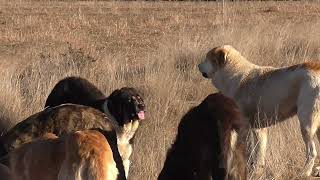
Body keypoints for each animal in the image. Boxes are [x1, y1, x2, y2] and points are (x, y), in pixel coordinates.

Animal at [199, 44, 320, 176]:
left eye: (207, 58)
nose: (198, 65)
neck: (233, 75)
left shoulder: (251, 128)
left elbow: (252, 153)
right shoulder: (260, 129)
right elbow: (260, 153)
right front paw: (258, 170)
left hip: (307, 125)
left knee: (312, 152)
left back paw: (305, 172)